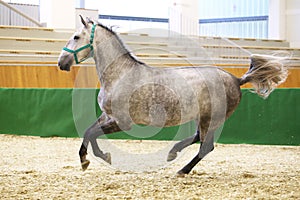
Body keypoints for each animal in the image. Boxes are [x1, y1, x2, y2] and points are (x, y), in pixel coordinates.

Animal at [56, 16, 288, 174]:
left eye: (76, 37)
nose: (61, 63)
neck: (120, 74)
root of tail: (236, 80)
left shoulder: (123, 122)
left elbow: (92, 133)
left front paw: (92, 160)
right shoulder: (107, 116)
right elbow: (89, 132)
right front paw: (91, 159)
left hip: (210, 118)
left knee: (206, 146)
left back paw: (182, 170)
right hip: (204, 118)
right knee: (198, 138)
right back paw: (172, 153)